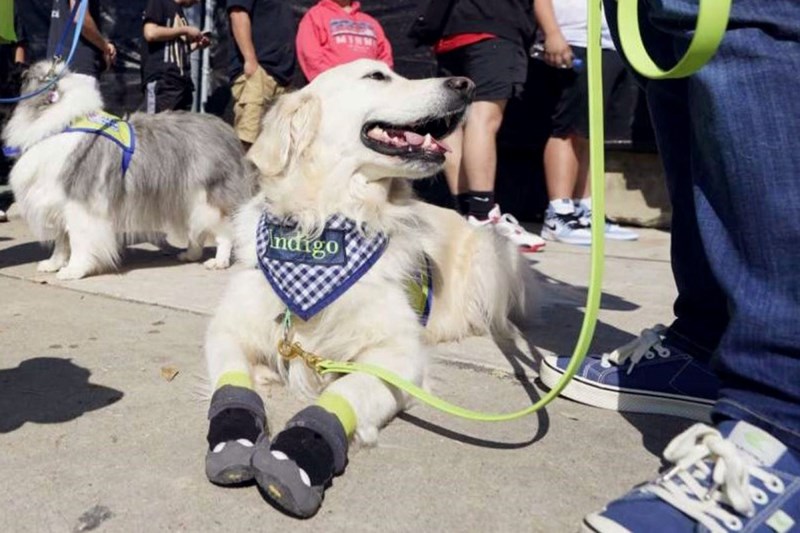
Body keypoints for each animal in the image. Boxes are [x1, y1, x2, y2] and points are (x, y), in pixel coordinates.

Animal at [0, 61, 256, 278]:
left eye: (21, 76)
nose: (18, 65)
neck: (63, 125)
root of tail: (225, 129)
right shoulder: (58, 201)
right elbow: (62, 240)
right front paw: (54, 264)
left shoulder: (79, 204)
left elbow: (79, 240)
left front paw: (73, 270)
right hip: (186, 198)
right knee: (197, 230)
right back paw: (190, 254)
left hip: (208, 199)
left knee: (224, 232)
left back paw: (219, 261)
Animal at [200, 58, 524, 516]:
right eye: (376, 76)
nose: (466, 84)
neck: (326, 226)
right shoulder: (227, 329)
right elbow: (233, 382)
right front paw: (236, 430)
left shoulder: (399, 356)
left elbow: (347, 389)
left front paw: (299, 454)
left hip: (493, 252)